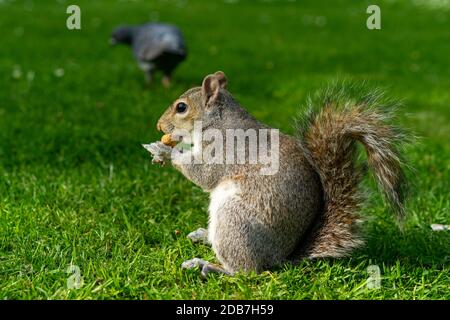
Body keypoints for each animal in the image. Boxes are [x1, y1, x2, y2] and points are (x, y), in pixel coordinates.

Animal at [144, 71, 408, 276]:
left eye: (181, 107)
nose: (158, 125)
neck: (217, 122)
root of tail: (280, 257)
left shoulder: (224, 150)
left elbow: (203, 173)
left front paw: (165, 151)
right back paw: (203, 235)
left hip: (233, 220)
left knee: (245, 271)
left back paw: (207, 266)